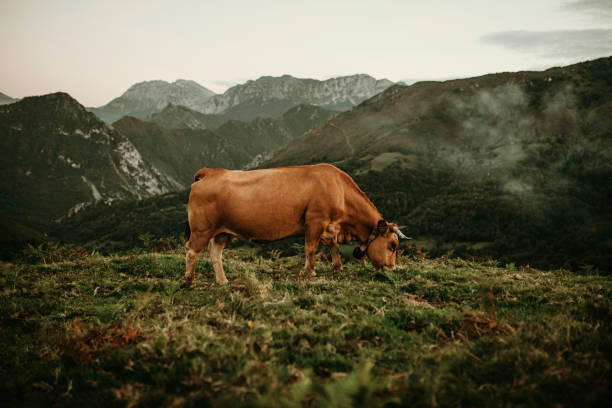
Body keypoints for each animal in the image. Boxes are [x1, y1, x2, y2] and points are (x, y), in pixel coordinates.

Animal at [184, 163, 408, 284]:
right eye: (392, 245)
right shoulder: (315, 221)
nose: (392, 268)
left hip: (221, 232)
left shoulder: (329, 227)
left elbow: (333, 246)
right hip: (201, 229)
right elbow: (310, 248)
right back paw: (188, 280)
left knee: (215, 253)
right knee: (191, 250)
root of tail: (211, 172)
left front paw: (337, 267)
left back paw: (222, 281)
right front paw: (309, 272)